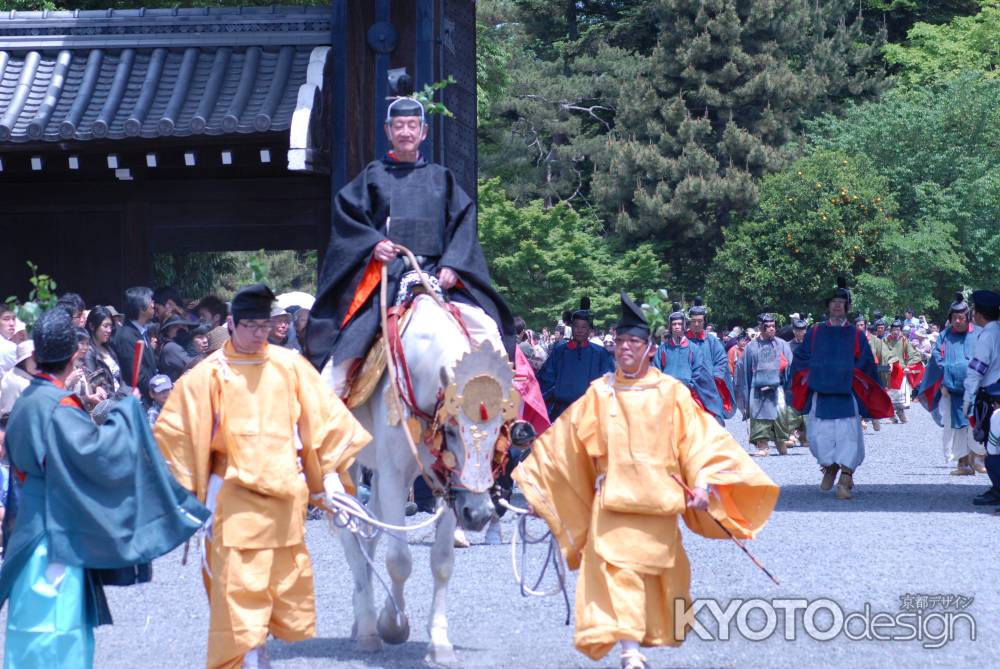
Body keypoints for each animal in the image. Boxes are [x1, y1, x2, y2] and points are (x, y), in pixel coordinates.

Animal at [330, 294, 512, 664]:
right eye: (451, 431)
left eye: (498, 433)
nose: (479, 514)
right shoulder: (395, 475)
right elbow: (399, 561)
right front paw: (392, 624)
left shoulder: (447, 486)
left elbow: (441, 562)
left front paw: (438, 643)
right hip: (351, 465)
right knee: (353, 536)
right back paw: (368, 627)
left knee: (371, 533)